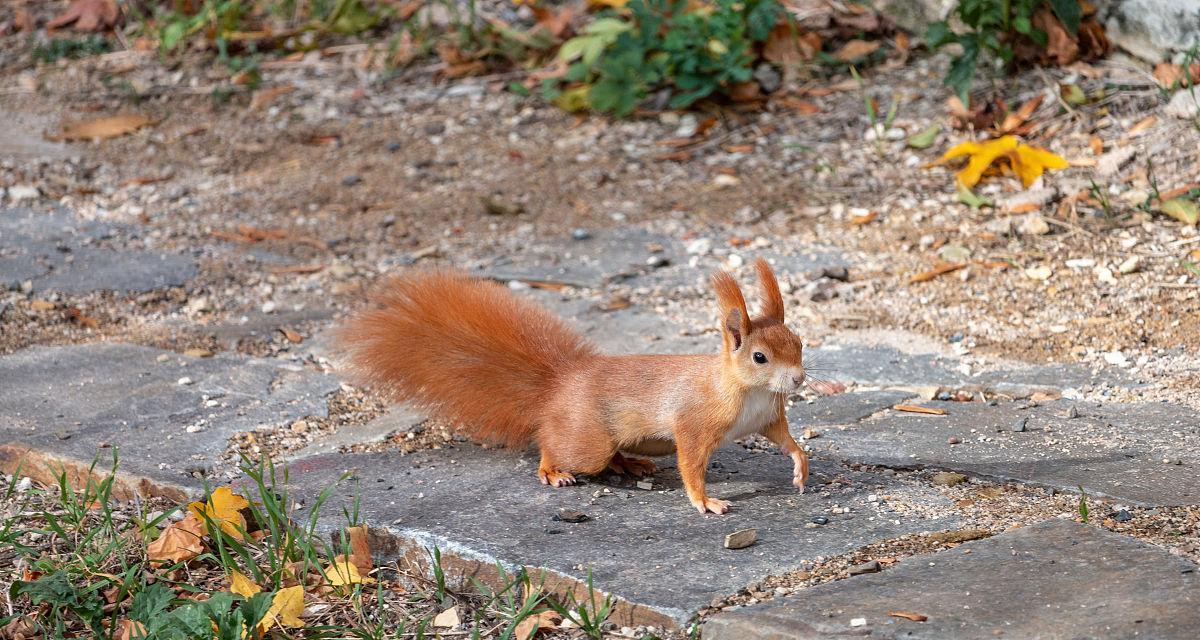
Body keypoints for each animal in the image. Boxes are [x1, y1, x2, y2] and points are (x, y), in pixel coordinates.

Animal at [343, 256, 820, 511]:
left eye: (799, 342)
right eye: (759, 357)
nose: (798, 379)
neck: (750, 391)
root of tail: (557, 385)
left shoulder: (768, 418)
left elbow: (788, 441)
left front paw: (800, 468)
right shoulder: (694, 423)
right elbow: (691, 464)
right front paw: (704, 501)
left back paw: (630, 464)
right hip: (585, 443)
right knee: (553, 445)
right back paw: (553, 471)